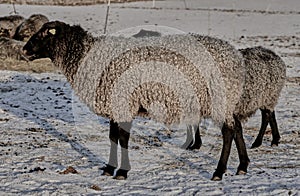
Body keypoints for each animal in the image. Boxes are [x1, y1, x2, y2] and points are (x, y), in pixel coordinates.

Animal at [22, 21, 248, 181]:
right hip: (228, 100)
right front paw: (109, 168)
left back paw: (219, 172)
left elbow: (123, 138)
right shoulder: (115, 106)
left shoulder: (124, 103)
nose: (24, 50)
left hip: (221, 99)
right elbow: (113, 137)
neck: (87, 57)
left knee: (228, 131)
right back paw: (242, 167)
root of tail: (235, 56)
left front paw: (122, 172)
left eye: (44, 34)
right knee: (237, 127)